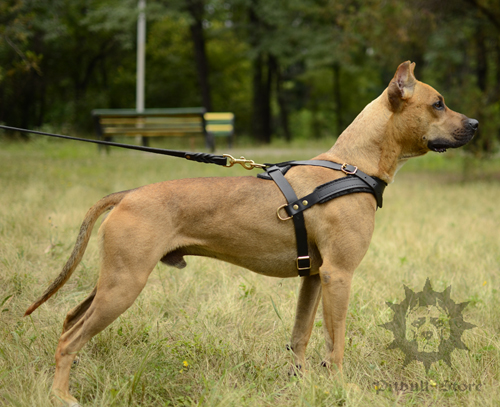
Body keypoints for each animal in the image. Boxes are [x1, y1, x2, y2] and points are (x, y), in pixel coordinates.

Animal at [24, 61, 476, 407]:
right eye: (438, 103)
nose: (474, 123)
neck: (351, 166)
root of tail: (127, 195)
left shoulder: (315, 278)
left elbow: (300, 337)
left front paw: (302, 384)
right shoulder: (339, 275)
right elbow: (336, 343)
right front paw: (340, 387)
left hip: (113, 280)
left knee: (69, 320)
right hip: (125, 283)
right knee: (72, 337)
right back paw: (61, 395)